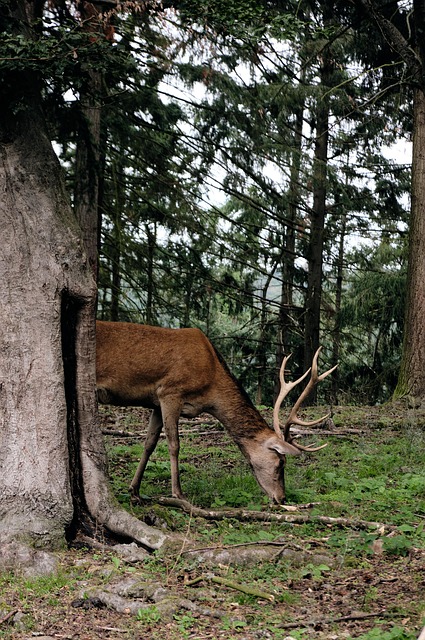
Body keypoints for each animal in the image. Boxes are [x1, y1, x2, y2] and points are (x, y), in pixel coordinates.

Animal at [96, 320, 337, 504]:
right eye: (280, 463)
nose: (281, 498)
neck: (211, 389)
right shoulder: (170, 392)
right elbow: (174, 444)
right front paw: (178, 493)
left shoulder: (156, 403)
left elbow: (149, 444)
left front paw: (134, 490)